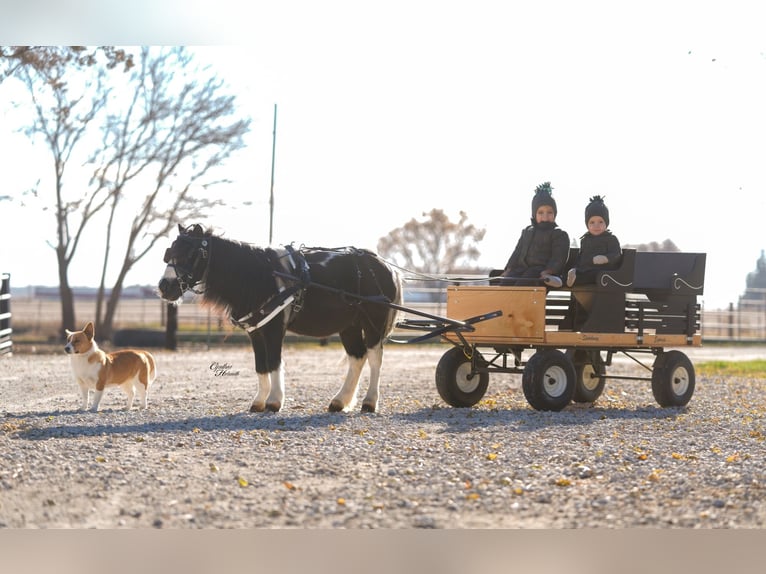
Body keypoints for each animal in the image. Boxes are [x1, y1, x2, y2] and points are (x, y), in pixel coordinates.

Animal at [158, 223, 403, 413]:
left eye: (190, 253)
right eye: (169, 253)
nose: (164, 287)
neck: (260, 275)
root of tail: (386, 267)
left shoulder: (275, 328)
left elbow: (274, 362)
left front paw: (274, 401)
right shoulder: (256, 331)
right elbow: (261, 365)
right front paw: (259, 401)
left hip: (373, 322)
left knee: (374, 358)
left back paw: (370, 402)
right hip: (349, 326)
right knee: (357, 358)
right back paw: (340, 401)